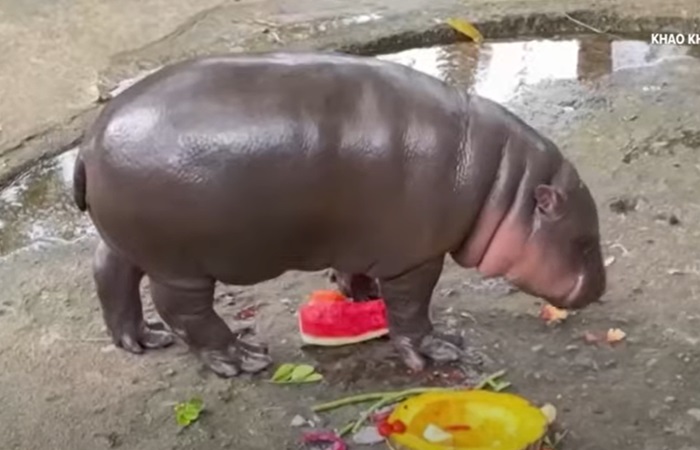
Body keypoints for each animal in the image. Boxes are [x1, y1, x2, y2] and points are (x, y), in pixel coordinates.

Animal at [73, 51, 606, 378]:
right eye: (584, 239)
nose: (600, 290)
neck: (503, 184)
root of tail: (91, 140)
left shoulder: (364, 237)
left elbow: (355, 270)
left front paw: (361, 295)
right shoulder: (415, 256)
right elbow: (412, 308)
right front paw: (440, 348)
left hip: (129, 240)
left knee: (109, 269)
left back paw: (142, 339)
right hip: (180, 264)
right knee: (184, 310)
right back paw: (243, 358)